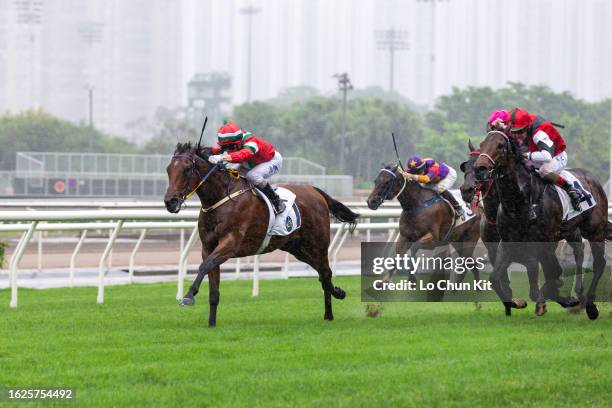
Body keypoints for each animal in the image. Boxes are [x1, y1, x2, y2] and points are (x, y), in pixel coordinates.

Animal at [165, 142, 360, 326]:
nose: (169, 202)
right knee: (321, 274)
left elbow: (204, 266)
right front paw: (211, 324)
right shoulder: (208, 247)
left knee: (326, 273)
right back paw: (337, 295)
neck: (221, 198)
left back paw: (330, 312)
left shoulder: (230, 243)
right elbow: (213, 287)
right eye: (168, 169)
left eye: (187, 170)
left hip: (318, 244)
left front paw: (188, 296)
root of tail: (315, 190)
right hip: (297, 248)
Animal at [474, 131, 608, 318]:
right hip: (571, 231)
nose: (480, 168)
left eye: (500, 146)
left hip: (595, 231)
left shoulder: (544, 245)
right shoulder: (508, 245)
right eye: (481, 144)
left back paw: (590, 306)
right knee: (580, 253)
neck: (520, 203)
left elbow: (552, 277)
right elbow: (494, 279)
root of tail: (592, 178)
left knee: (598, 264)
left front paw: (559, 300)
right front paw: (516, 302)